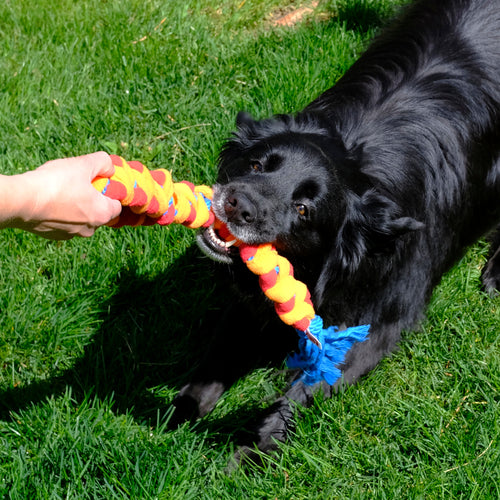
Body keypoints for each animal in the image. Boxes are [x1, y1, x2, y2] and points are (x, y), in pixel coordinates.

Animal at [173, 0, 500, 460]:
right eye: (255, 164)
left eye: (304, 208)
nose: (237, 204)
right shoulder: (253, 300)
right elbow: (217, 357)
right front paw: (175, 415)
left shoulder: (383, 319)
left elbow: (303, 392)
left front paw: (247, 454)